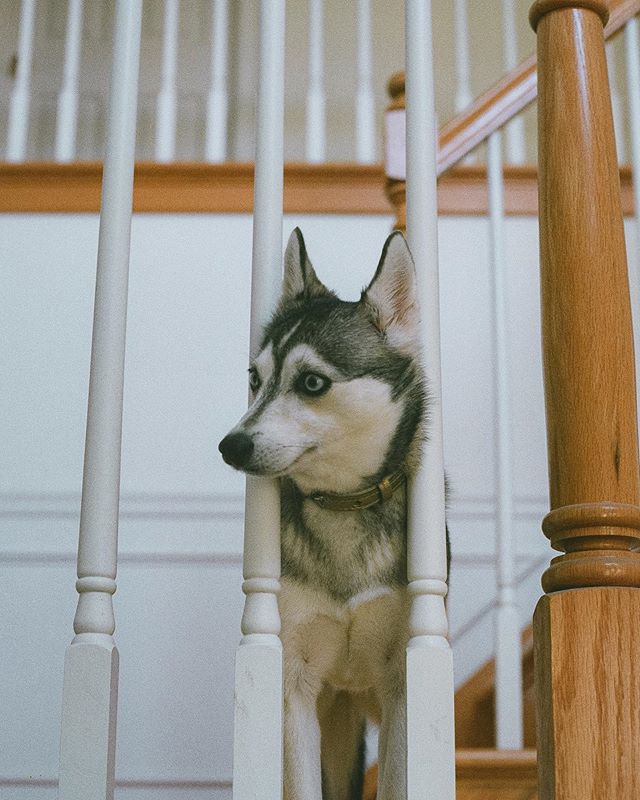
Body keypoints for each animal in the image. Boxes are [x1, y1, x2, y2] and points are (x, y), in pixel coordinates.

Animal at [220, 227, 436, 800]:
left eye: (312, 382)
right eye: (255, 379)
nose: (230, 446)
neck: (342, 504)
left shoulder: (403, 687)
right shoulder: (293, 685)